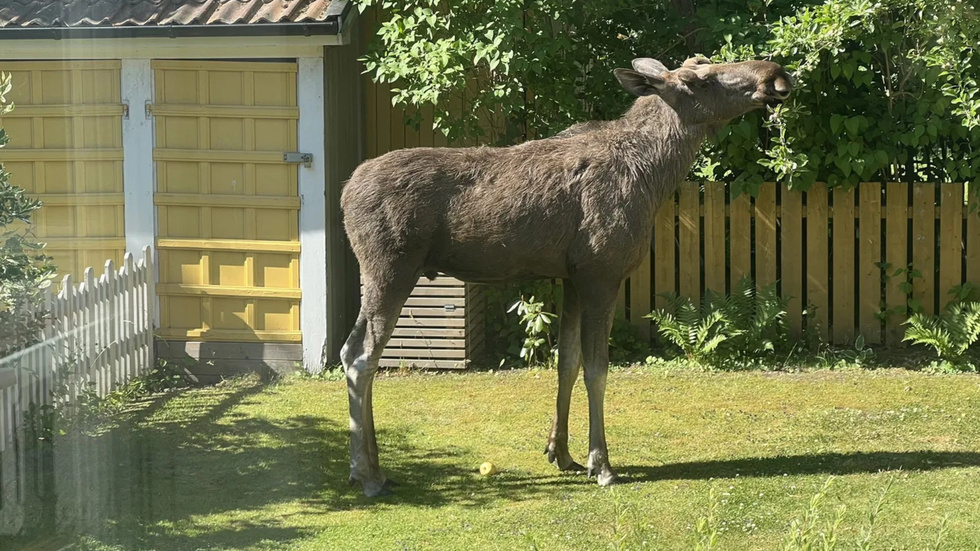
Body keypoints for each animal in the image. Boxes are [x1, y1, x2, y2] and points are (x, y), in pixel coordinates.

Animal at [340, 55, 792, 496]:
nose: (775, 74)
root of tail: (345, 193)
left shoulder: (571, 277)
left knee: (350, 351)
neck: (655, 175)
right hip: (391, 268)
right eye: (699, 80)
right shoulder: (601, 273)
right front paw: (602, 464)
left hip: (383, 275)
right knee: (363, 357)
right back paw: (367, 474)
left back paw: (373, 466)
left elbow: (567, 363)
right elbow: (597, 369)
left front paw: (561, 453)